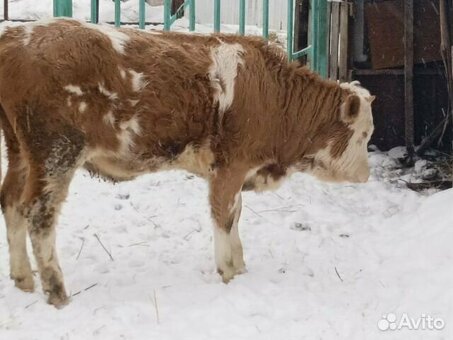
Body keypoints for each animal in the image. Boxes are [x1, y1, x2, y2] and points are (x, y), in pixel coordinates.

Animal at [0, 18, 374, 306]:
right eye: (364, 134)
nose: (366, 175)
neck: (270, 92)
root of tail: (16, 36)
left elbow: (235, 215)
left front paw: (240, 266)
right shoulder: (230, 166)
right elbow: (224, 216)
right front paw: (228, 271)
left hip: (20, 153)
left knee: (12, 202)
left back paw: (23, 279)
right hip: (56, 153)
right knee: (39, 214)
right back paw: (56, 292)